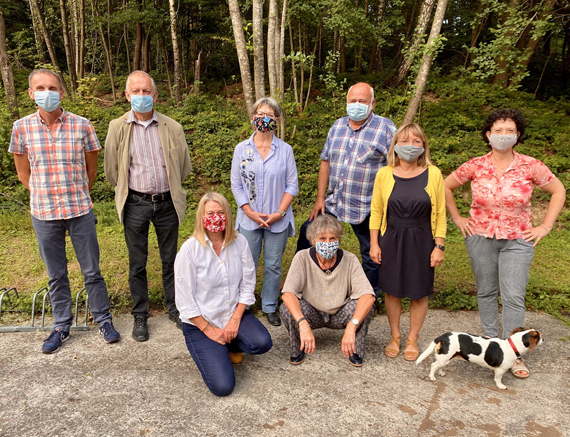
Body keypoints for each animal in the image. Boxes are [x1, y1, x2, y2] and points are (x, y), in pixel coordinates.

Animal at [412, 328, 540, 388]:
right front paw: (500, 386)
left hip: (445, 358)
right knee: (433, 365)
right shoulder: (500, 370)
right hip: (445, 358)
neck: (512, 344)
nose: (543, 339)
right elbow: (498, 379)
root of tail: (443, 336)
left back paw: (441, 373)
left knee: (438, 366)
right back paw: (432, 377)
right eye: (539, 337)